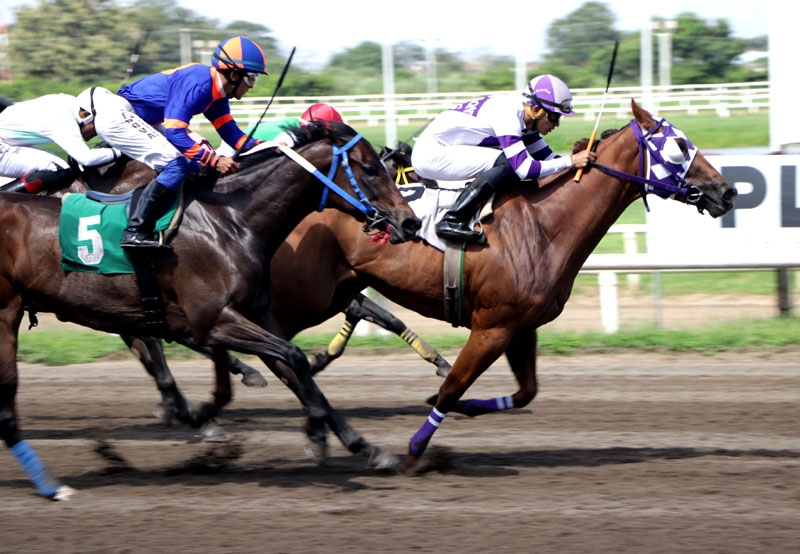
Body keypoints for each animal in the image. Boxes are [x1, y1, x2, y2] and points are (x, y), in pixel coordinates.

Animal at [0, 122, 422, 496]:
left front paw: (367, 448)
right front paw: (315, 436)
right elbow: (292, 358)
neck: (231, 220)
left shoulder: (258, 314)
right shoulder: (212, 320)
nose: (411, 222)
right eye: (369, 169)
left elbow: (297, 369)